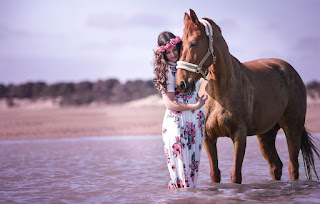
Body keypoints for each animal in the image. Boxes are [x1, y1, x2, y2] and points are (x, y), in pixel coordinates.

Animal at [176, 9, 318, 184]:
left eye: (194, 43)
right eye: (181, 45)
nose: (182, 83)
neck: (220, 94)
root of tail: (290, 71)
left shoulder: (239, 135)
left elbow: (235, 175)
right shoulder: (208, 138)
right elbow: (215, 173)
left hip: (292, 129)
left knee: (293, 167)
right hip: (266, 135)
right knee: (276, 166)